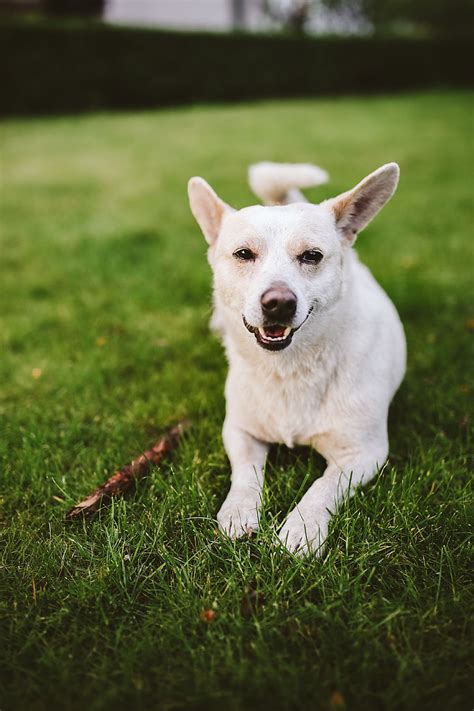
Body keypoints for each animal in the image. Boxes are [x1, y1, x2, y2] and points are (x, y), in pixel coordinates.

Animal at [187, 160, 406, 556]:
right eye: (243, 254)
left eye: (311, 256)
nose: (278, 303)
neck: (289, 368)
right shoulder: (239, 431)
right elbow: (245, 475)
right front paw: (239, 511)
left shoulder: (362, 453)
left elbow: (323, 487)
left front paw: (301, 528)